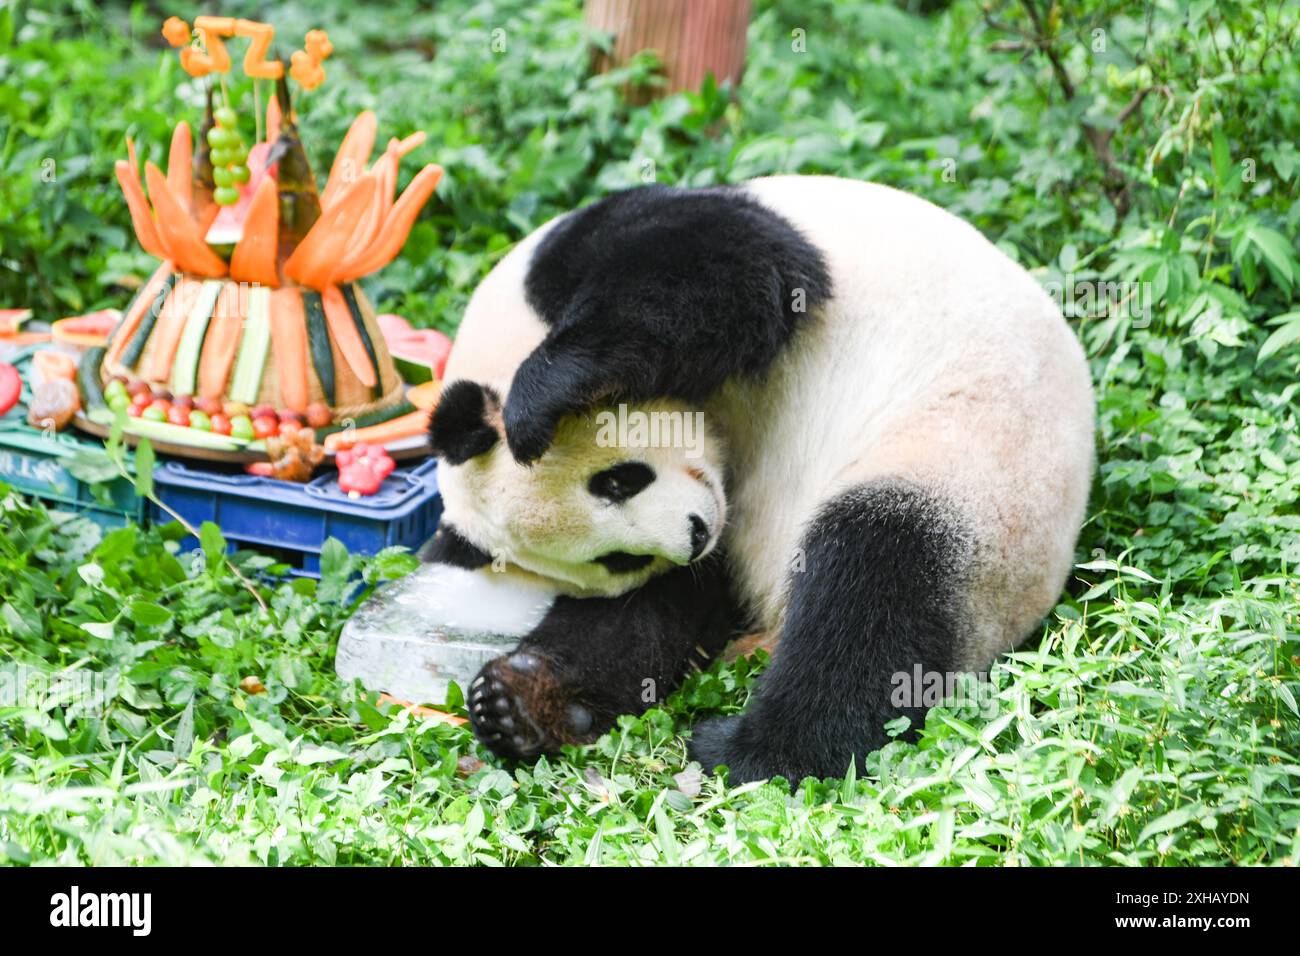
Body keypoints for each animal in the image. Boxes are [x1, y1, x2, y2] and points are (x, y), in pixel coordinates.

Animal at [426, 174, 1097, 785]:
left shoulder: (596, 246)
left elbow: (732, 275)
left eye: (618, 481)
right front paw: (526, 702)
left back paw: (754, 753)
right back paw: (524, 703)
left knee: (873, 586)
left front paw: (537, 404)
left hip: (970, 478)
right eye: (616, 559)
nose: (693, 535)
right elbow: (635, 612)